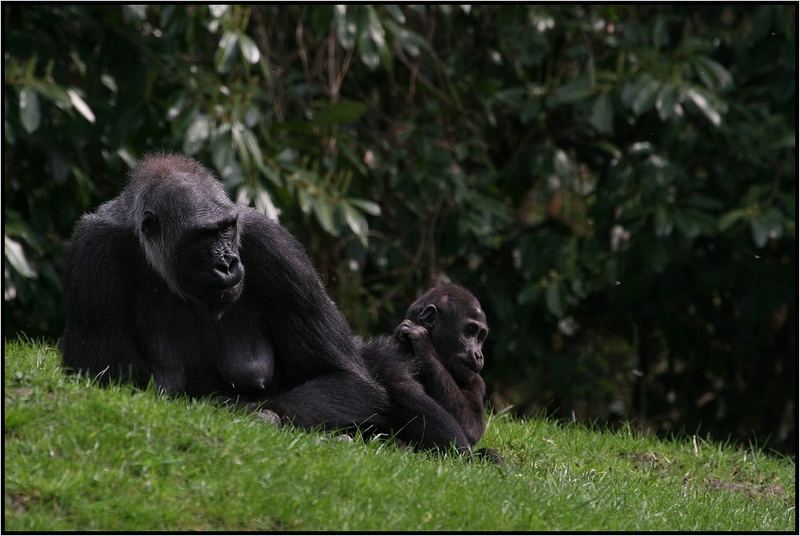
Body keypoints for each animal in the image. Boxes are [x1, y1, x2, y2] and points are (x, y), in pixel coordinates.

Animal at [62, 152, 388, 428]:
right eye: (202, 235)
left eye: (226, 228)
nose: (227, 263)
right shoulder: (93, 250)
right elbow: (106, 380)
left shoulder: (276, 248)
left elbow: (344, 379)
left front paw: (251, 414)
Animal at [362, 282, 494, 458]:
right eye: (469, 331)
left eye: (480, 337)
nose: (478, 355)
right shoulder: (386, 351)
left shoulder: (475, 380)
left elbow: (472, 426)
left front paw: (424, 345)